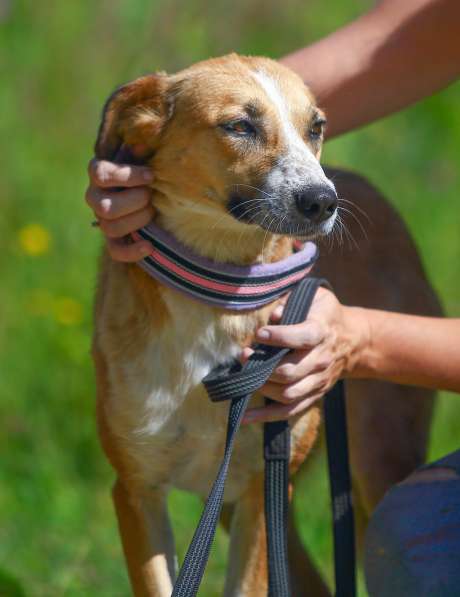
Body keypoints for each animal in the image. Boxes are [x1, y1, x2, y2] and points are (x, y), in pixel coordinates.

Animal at [91, 53, 440, 592]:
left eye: (316, 127)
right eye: (239, 126)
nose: (322, 201)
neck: (219, 293)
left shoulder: (261, 490)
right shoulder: (136, 490)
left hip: (375, 460)